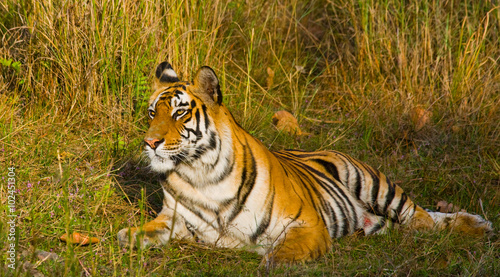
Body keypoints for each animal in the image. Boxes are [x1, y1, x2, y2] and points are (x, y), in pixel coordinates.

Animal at [116, 61, 492, 262]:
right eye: (152, 113)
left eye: (179, 113)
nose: (149, 143)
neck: (201, 174)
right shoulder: (174, 218)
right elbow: (141, 232)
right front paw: (128, 237)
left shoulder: (306, 224)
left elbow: (280, 254)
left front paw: (269, 261)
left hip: (373, 183)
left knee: (421, 219)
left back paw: (470, 226)